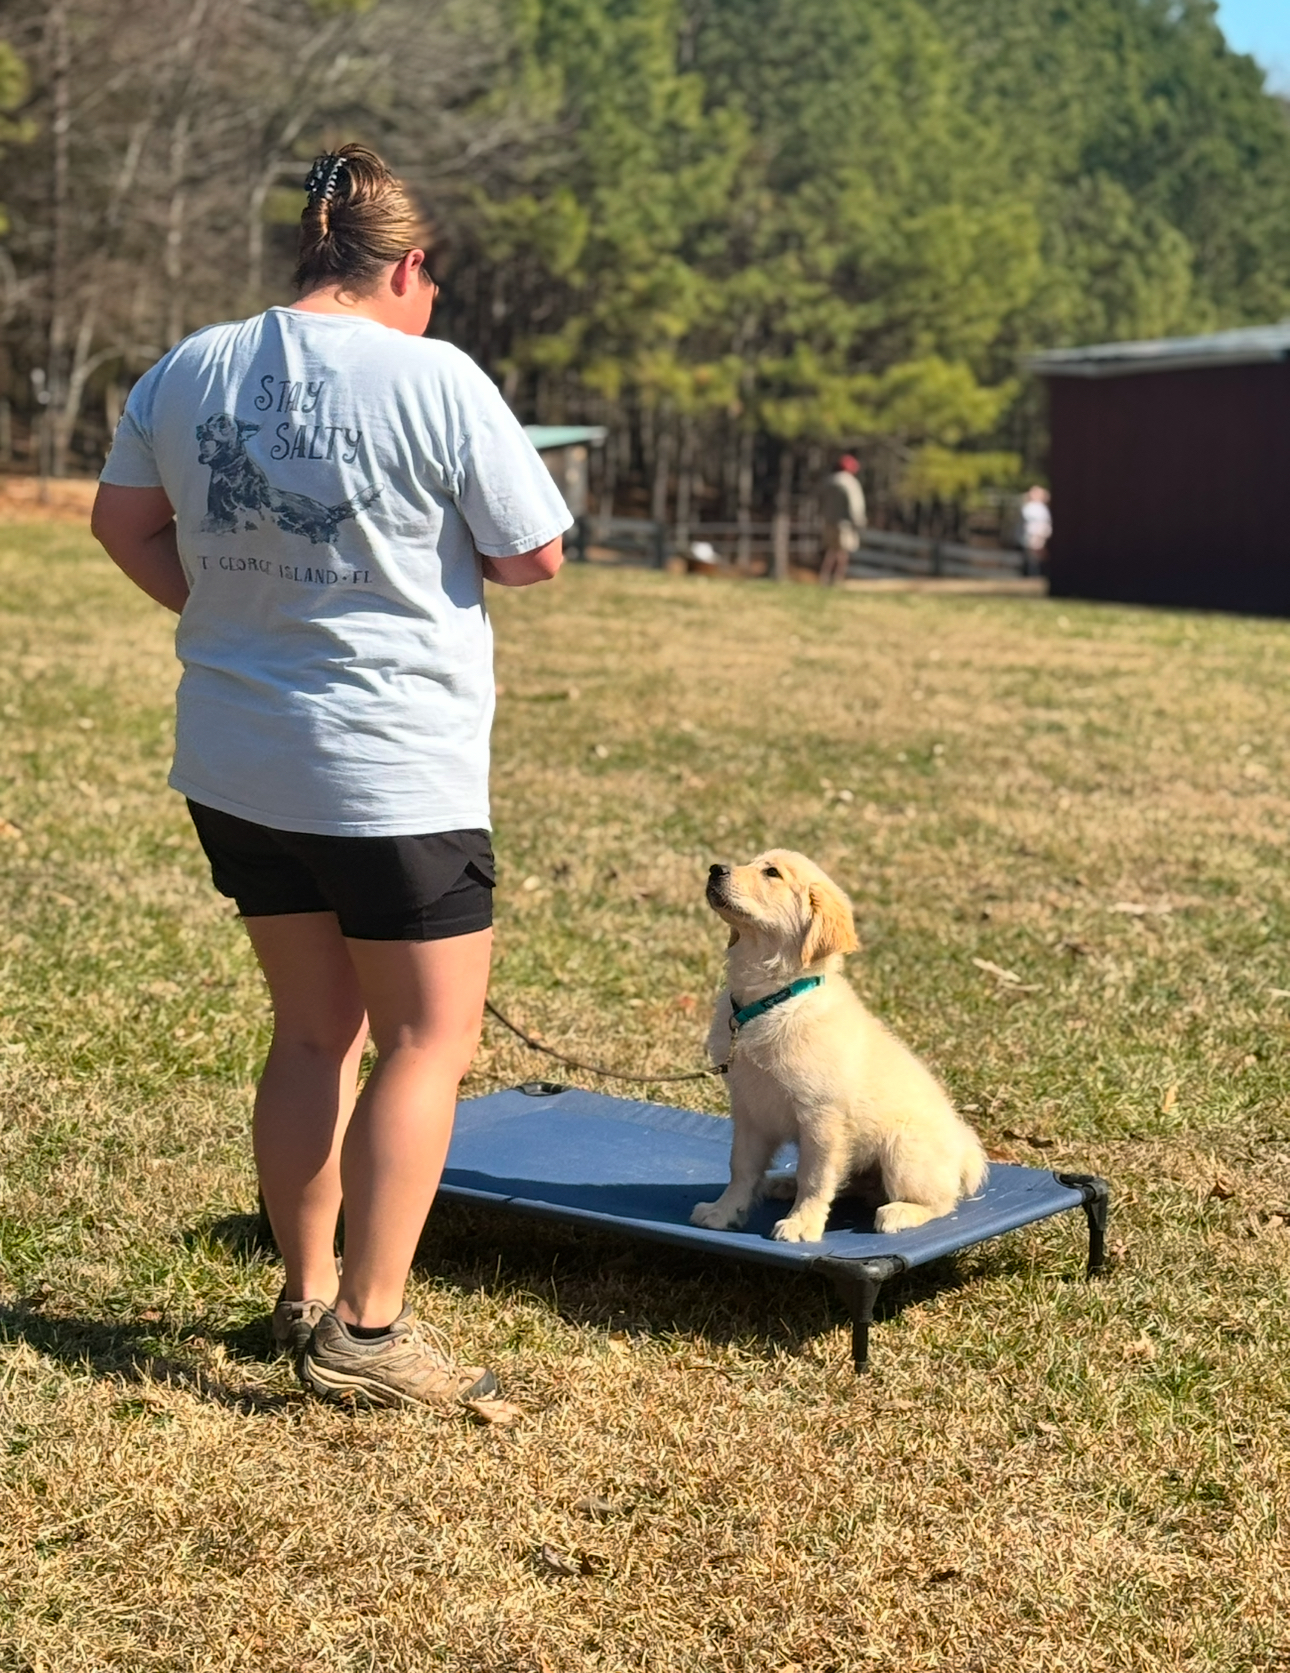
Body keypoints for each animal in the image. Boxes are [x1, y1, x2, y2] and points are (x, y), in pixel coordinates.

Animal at [696, 849, 990, 1244]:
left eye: (772, 873)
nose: (715, 869)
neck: (772, 1000)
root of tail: (964, 1150)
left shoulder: (823, 1118)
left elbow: (816, 1177)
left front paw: (802, 1223)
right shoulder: (749, 1110)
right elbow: (741, 1168)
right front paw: (723, 1212)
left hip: (903, 1150)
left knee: (939, 1201)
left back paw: (900, 1212)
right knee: (849, 1182)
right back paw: (784, 1183)